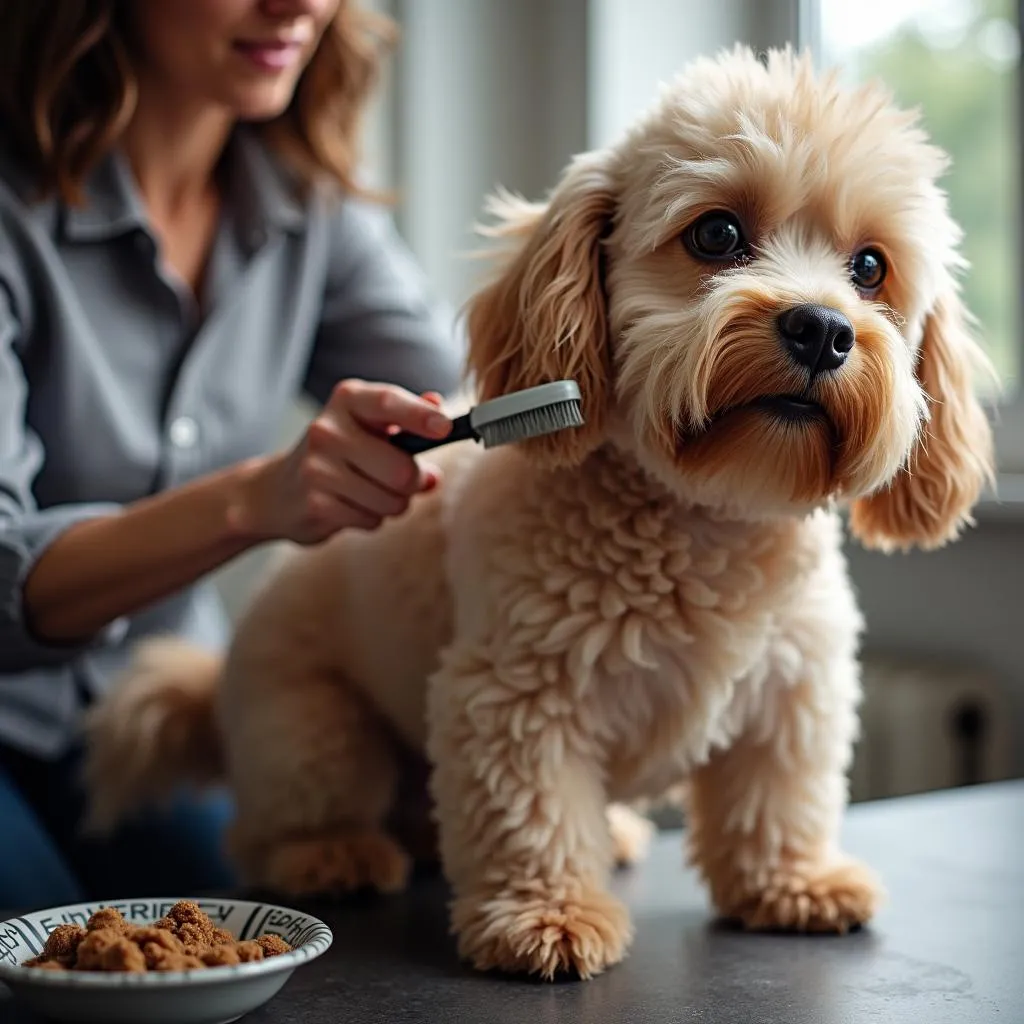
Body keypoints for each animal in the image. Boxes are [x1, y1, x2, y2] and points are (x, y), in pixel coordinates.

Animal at [83, 44, 995, 978]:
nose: (820, 329)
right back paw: (331, 853)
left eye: (870, 268)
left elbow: (778, 797)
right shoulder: (514, 693)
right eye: (716, 235)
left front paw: (794, 883)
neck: (706, 518)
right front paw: (548, 917)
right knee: (278, 823)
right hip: (313, 728)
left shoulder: (794, 692)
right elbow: (533, 811)